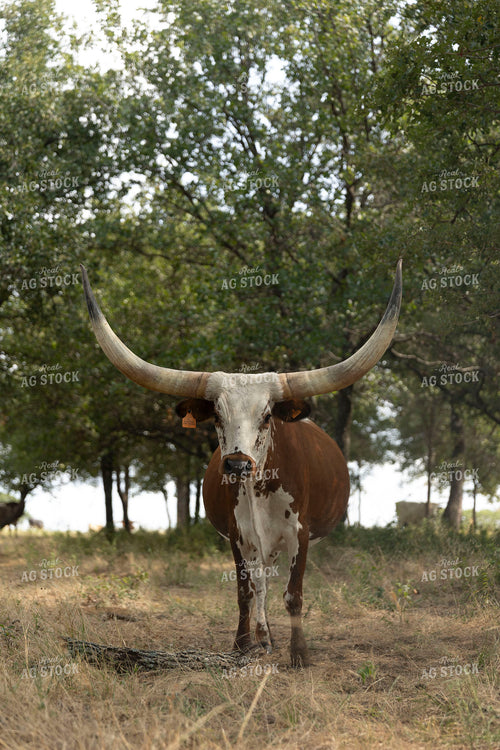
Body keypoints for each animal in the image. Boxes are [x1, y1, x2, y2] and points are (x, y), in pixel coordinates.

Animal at [81, 259, 402, 666]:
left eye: (266, 416)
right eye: (217, 416)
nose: (236, 466)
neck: (258, 489)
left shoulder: (299, 534)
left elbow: (293, 594)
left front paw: (299, 654)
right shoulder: (238, 535)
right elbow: (245, 591)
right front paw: (243, 644)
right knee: (261, 584)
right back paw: (264, 638)